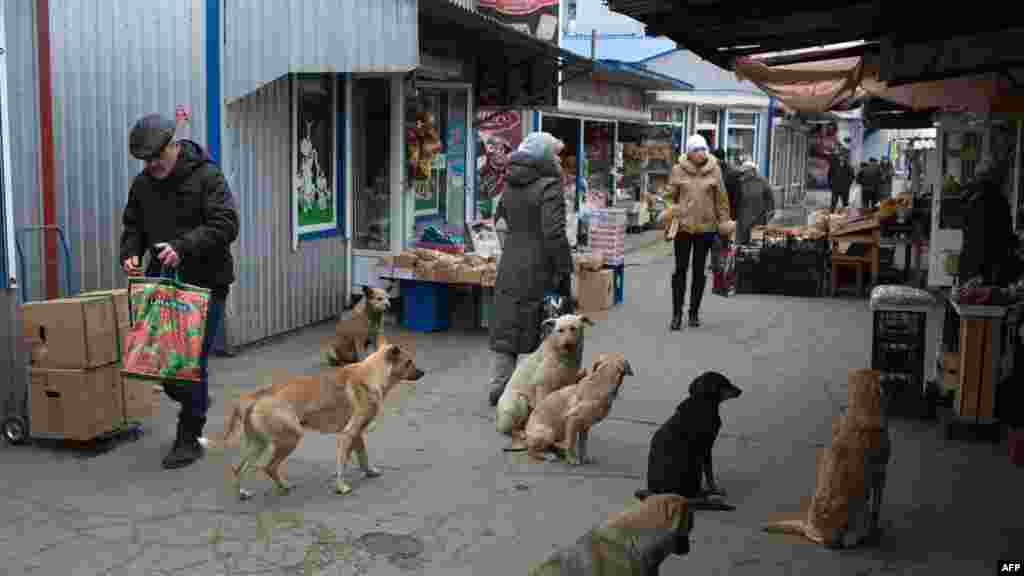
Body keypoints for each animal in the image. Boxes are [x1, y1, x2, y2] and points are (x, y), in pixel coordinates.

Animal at [216, 340, 423, 498]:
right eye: (408, 362)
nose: (423, 372)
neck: (372, 374)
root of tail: (258, 395)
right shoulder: (349, 434)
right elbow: (343, 462)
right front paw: (341, 487)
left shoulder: (357, 434)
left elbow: (362, 456)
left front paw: (369, 472)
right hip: (290, 439)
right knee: (269, 467)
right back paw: (283, 487)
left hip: (259, 444)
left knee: (240, 468)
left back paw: (244, 492)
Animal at [634, 368, 741, 508]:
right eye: (725, 383)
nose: (740, 391)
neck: (700, 401)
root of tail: (658, 494)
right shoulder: (706, 448)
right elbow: (710, 474)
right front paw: (715, 489)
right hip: (695, 464)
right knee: (691, 496)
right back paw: (707, 496)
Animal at [761, 366, 888, 545]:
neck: (862, 405)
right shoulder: (881, 474)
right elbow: (877, 507)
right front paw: (876, 526)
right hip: (861, 506)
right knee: (854, 533)